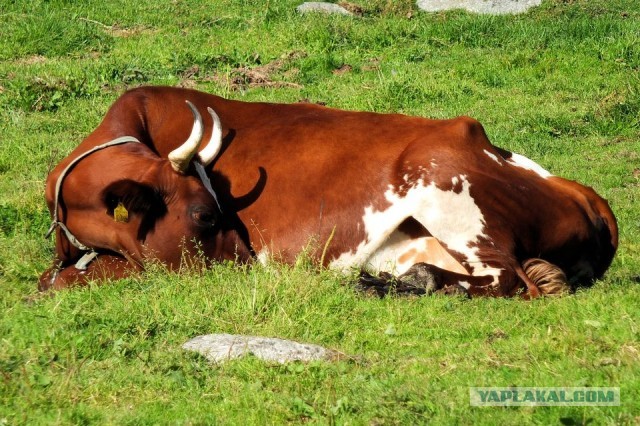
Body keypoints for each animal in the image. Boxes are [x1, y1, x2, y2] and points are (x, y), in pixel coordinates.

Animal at [37, 85, 616, 300]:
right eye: (204, 214)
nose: (252, 264)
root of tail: (585, 192)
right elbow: (56, 273)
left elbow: (65, 279)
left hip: (447, 186)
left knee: (510, 279)